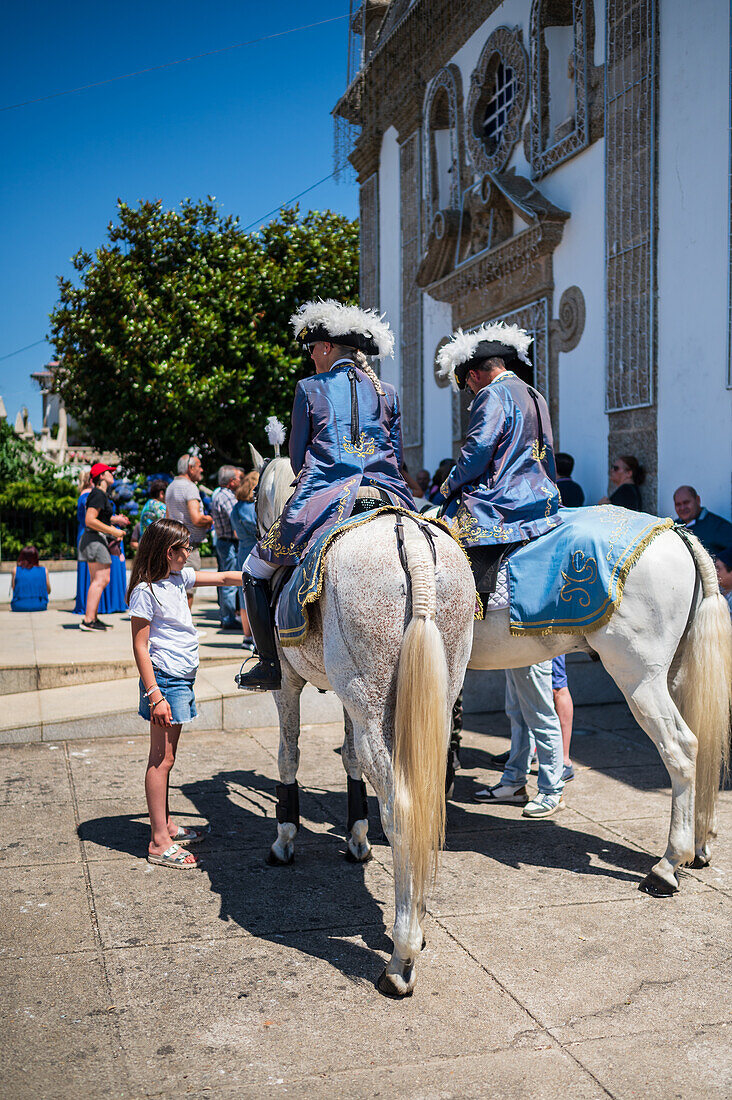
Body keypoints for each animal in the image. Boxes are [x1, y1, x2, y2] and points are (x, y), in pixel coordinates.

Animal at [245, 446, 473, 998]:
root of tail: (413, 546)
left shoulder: (287, 683)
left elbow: (288, 754)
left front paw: (284, 839)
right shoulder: (349, 699)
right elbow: (348, 759)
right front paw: (356, 839)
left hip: (371, 705)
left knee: (403, 806)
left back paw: (401, 958)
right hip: (421, 697)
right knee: (425, 798)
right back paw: (417, 922)